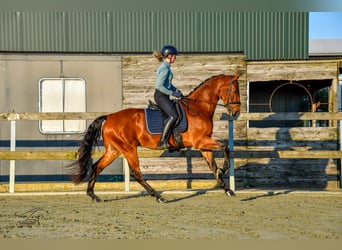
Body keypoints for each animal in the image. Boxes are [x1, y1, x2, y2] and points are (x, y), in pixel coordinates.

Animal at [69, 74, 240, 203]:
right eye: (236, 90)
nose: (236, 112)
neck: (198, 108)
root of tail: (109, 117)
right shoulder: (200, 141)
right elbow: (225, 147)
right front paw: (225, 168)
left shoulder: (203, 144)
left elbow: (213, 166)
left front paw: (227, 189)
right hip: (128, 148)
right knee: (136, 172)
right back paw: (157, 196)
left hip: (114, 150)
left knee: (97, 166)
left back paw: (93, 195)